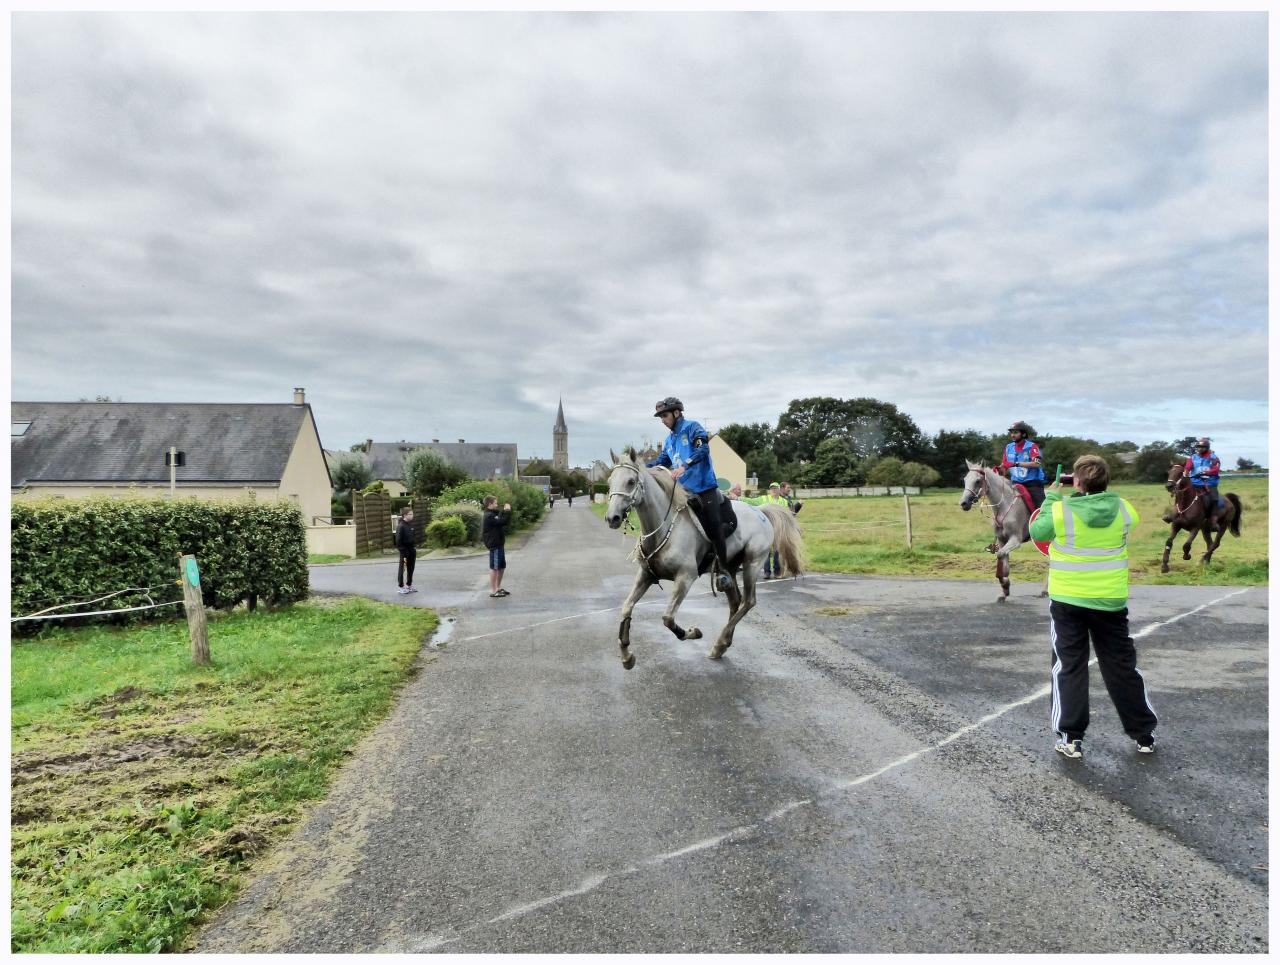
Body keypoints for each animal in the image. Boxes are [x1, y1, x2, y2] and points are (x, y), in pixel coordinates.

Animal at [604, 447, 803, 665]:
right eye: (610, 482)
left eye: (631, 481)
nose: (612, 518)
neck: (664, 529)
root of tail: (760, 511)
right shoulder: (646, 575)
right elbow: (626, 608)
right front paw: (626, 655)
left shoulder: (685, 577)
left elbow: (668, 618)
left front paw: (693, 632)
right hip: (730, 568)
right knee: (735, 601)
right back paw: (722, 645)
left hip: (753, 564)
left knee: (748, 602)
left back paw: (719, 643)